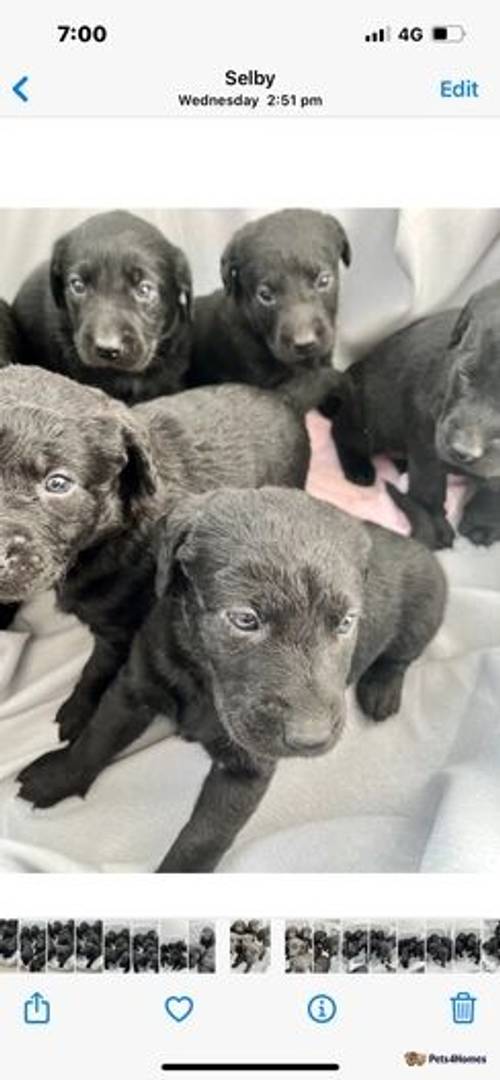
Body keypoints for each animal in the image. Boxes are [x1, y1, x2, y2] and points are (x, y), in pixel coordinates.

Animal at [19, 486, 449, 872]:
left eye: (346, 623)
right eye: (245, 619)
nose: (311, 739)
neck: (203, 678)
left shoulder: (246, 769)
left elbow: (203, 837)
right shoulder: (133, 687)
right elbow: (96, 738)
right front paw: (56, 778)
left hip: (425, 610)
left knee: (401, 655)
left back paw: (381, 690)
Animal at [330, 280, 500, 548]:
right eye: (464, 374)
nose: (461, 451)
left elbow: (494, 488)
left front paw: (484, 522)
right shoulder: (426, 436)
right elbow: (429, 487)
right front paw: (433, 525)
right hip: (368, 419)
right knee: (342, 434)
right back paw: (359, 468)